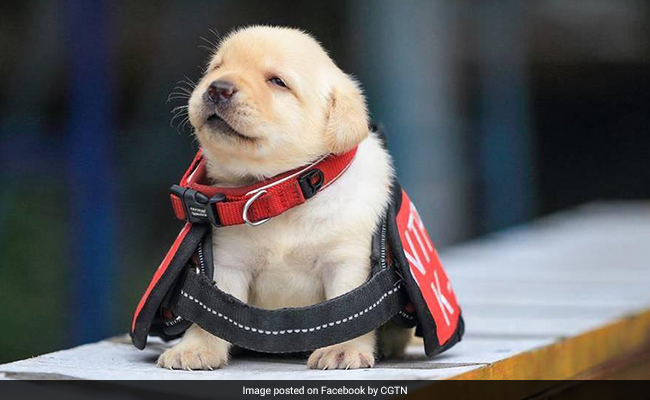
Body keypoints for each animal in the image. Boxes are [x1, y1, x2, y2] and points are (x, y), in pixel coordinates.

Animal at [157, 25, 408, 372]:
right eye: (216, 68)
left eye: (277, 81)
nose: (217, 88)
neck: (278, 194)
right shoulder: (228, 262)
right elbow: (212, 312)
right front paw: (195, 348)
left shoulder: (346, 260)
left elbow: (349, 310)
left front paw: (342, 349)